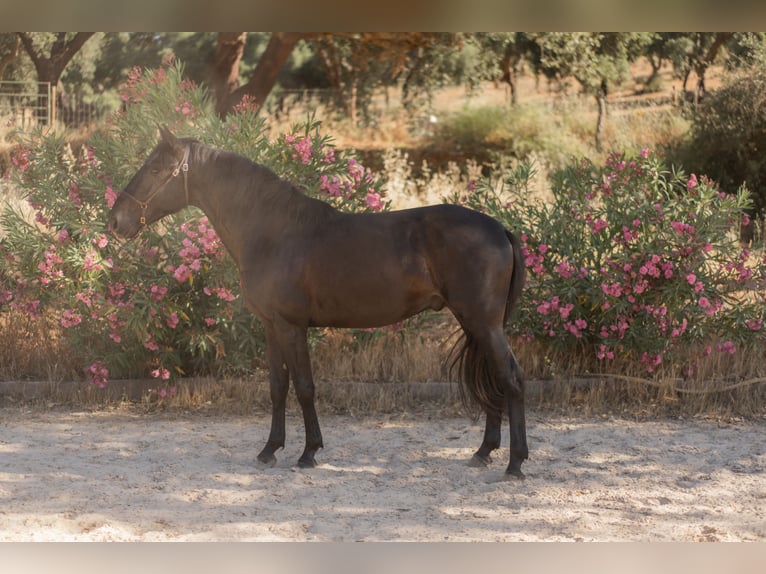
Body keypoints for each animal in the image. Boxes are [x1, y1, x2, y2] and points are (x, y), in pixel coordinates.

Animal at [107, 126, 529, 478]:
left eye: (157, 168)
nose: (115, 221)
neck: (275, 232)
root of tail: (499, 229)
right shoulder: (271, 326)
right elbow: (278, 386)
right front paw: (269, 450)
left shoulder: (291, 326)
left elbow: (305, 386)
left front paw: (308, 453)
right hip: (476, 323)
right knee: (493, 377)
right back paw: (483, 452)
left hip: (484, 323)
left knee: (510, 378)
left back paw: (515, 464)